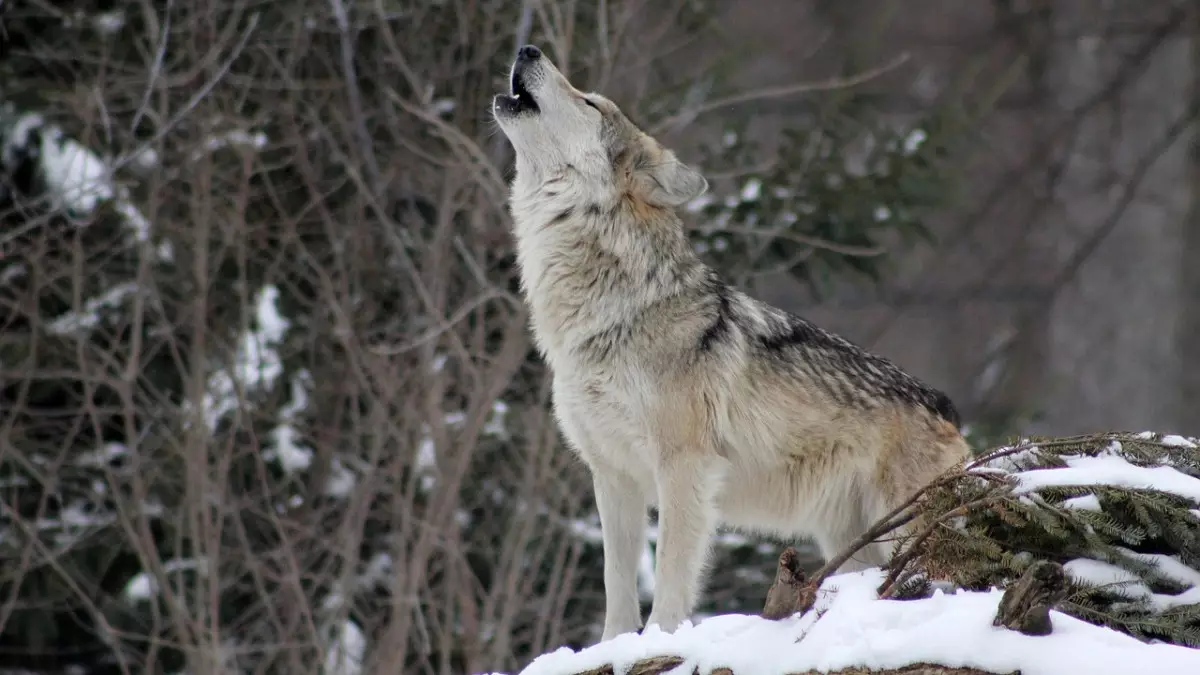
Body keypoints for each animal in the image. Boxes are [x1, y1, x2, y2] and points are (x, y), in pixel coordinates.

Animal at [492, 44, 969, 638]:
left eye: (590, 102)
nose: (527, 48)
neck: (611, 313)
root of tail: (947, 407)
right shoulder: (613, 476)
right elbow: (616, 585)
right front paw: (614, 646)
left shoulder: (684, 467)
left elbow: (671, 573)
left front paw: (660, 639)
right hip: (852, 543)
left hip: (905, 529)